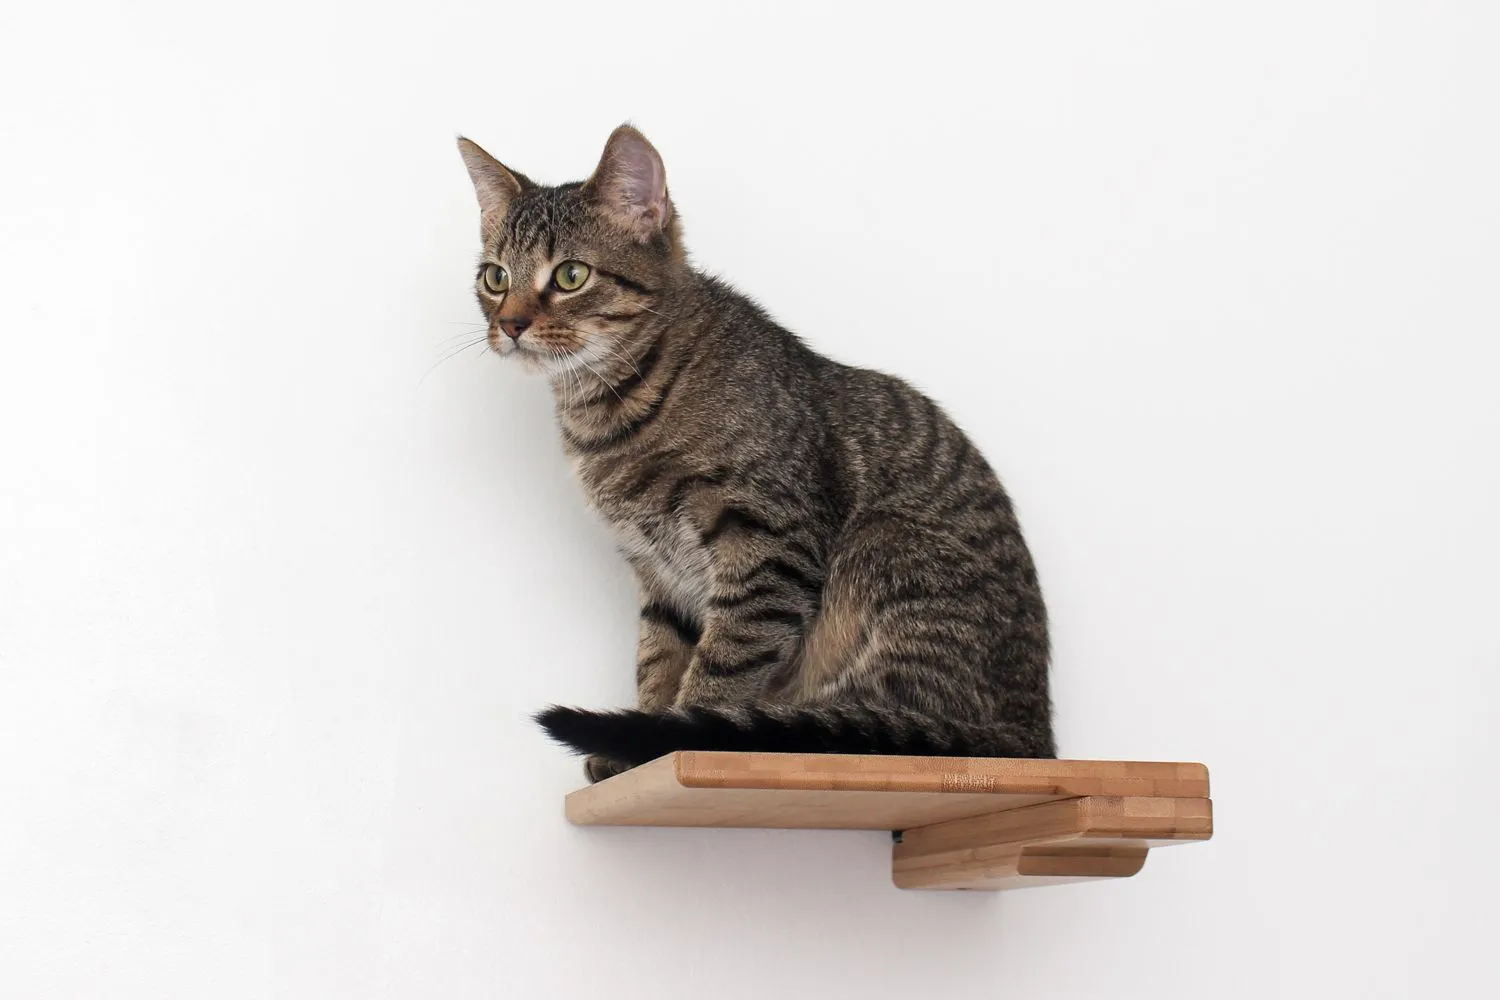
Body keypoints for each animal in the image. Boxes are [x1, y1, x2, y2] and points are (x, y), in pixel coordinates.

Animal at [456, 127, 1056, 779]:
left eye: (570, 275)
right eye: (494, 278)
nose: (509, 324)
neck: (611, 410)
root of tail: (1037, 735)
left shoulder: (771, 546)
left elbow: (723, 666)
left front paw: (671, 741)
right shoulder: (658, 573)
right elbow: (657, 660)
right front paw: (636, 752)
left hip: (884, 547)